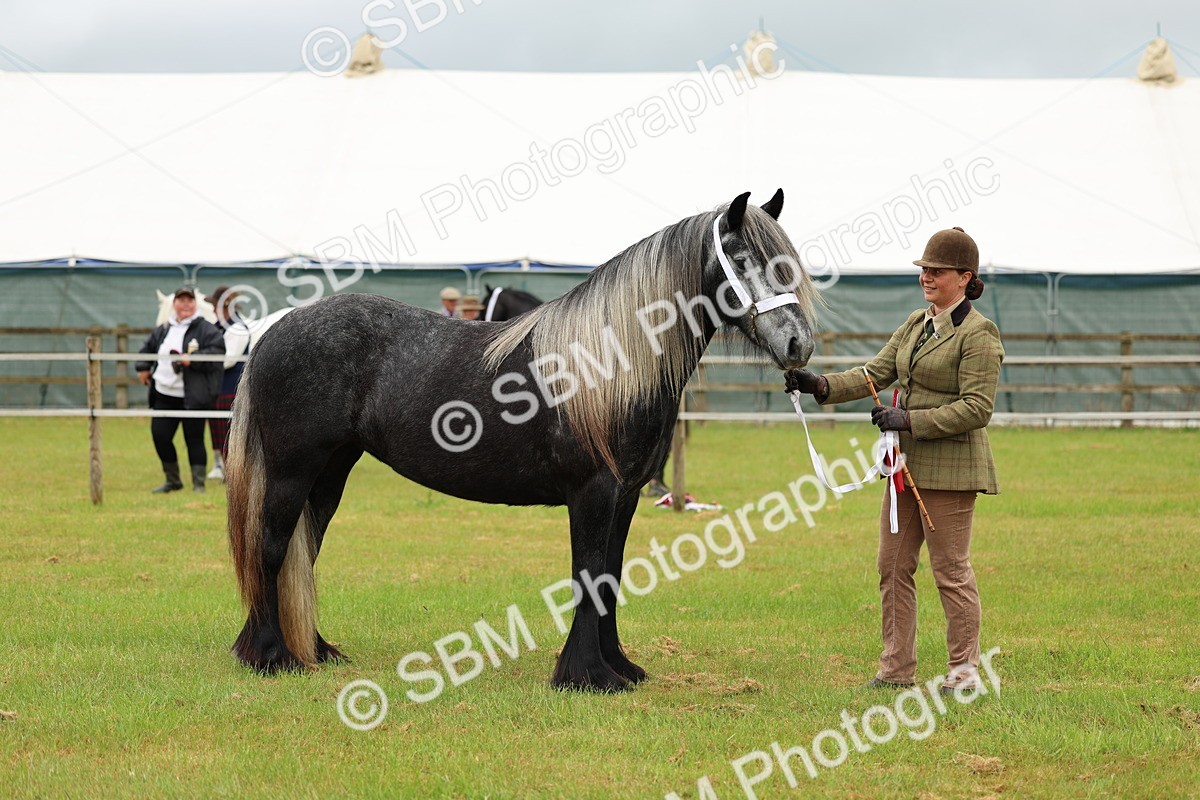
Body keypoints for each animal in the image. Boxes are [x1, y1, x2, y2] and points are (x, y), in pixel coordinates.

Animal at [226, 190, 818, 691]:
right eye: (741, 258)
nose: (798, 345)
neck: (608, 362)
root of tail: (276, 328)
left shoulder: (626, 496)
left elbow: (611, 576)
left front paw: (619, 667)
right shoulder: (593, 492)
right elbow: (589, 575)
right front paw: (586, 676)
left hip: (331, 472)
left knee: (304, 549)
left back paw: (314, 650)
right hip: (292, 470)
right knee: (273, 547)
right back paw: (270, 656)